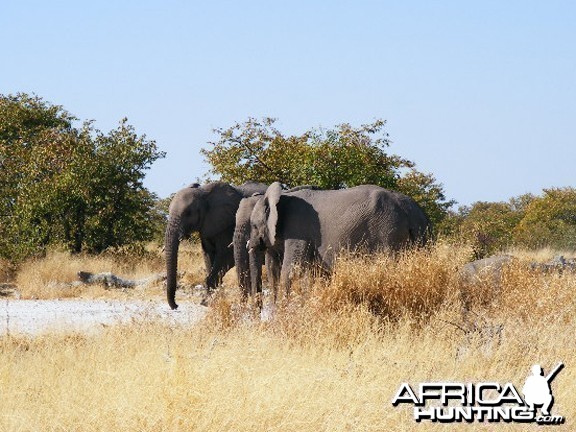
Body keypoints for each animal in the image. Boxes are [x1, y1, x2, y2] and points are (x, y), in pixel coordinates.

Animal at [250, 181, 430, 296]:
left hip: (387, 231)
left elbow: (292, 270)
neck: (283, 195)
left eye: (253, 225)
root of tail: (412, 211)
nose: (249, 244)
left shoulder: (297, 229)